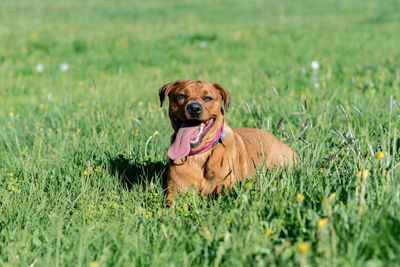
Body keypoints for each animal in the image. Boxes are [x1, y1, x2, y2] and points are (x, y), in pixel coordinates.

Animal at [159, 79, 296, 205]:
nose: (194, 108)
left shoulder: (227, 189)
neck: (200, 156)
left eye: (208, 98)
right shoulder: (174, 193)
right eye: (181, 96)